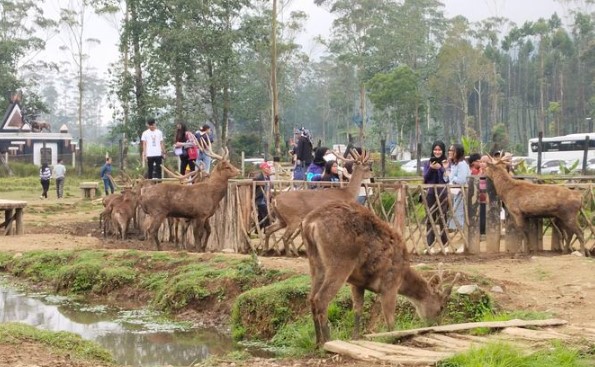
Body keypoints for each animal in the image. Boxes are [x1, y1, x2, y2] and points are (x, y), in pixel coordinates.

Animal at [302, 201, 460, 348]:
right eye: (441, 307)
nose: (436, 324)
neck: (403, 276)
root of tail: (310, 224)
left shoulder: (358, 283)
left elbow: (358, 309)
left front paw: (355, 337)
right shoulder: (390, 283)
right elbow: (390, 318)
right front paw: (394, 338)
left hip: (315, 263)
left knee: (311, 298)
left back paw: (317, 342)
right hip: (341, 260)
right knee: (321, 298)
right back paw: (328, 341)